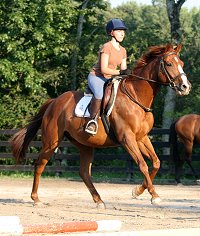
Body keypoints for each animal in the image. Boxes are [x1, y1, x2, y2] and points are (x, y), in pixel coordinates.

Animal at [9, 43, 191, 206]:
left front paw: (138, 191)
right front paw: (153, 195)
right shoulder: (127, 138)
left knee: (84, 172)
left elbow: (156, 163)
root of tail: (53, 102)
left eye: (181, 64)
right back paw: (36, 198)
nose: (185, 87)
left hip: (84, 144)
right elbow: (142, 165)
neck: (136, 97)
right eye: (169, 64)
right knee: (40, 164)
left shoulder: (141, 138)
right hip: (51, 141)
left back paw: (99, 200)